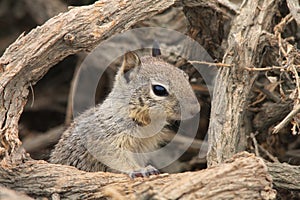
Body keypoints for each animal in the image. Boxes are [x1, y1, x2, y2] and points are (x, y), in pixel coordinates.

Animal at [49, 46, 199, 177]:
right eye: (159, 90)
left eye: (185, 76)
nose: (196, 109)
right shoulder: (106, 141)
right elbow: (120, 160)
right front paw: (139, 170)